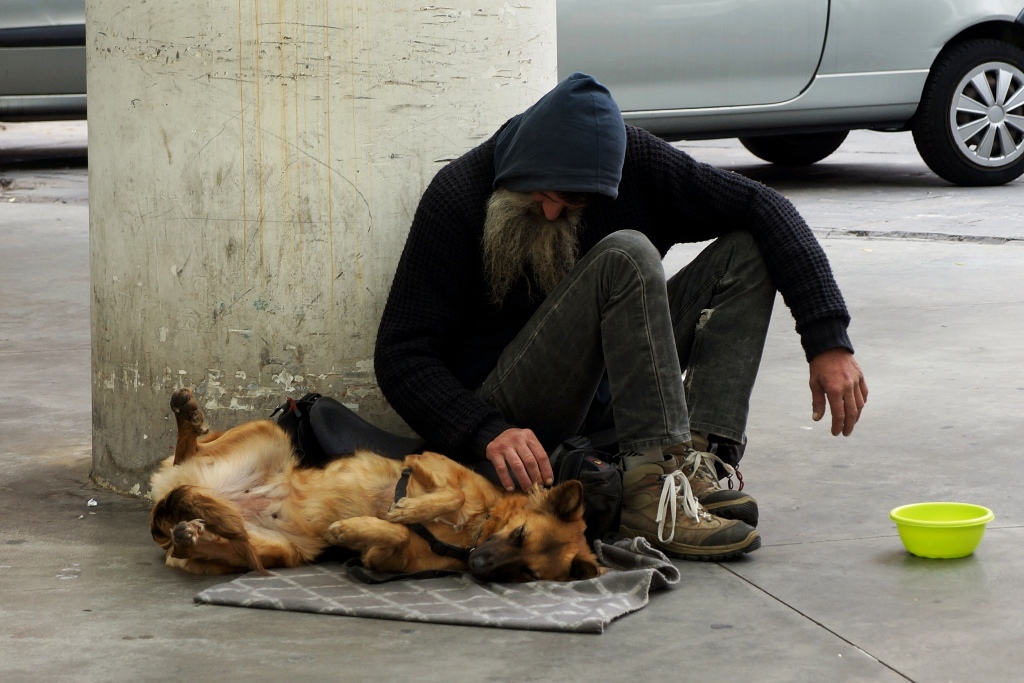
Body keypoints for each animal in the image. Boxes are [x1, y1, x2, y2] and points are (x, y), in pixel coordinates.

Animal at [148, 389, 602, 581]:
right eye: (520, 534)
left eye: (527, 572)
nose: (477, 567)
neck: (474, 529)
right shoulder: (425, 463)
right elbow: (450, 493)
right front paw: (408, 509)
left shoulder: (384, 560)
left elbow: (394, 537)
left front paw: (354, 529)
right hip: (269, 434)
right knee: (190, 448)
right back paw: (186, 414)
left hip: (277, 550)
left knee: (202, 543)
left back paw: (193, 534)